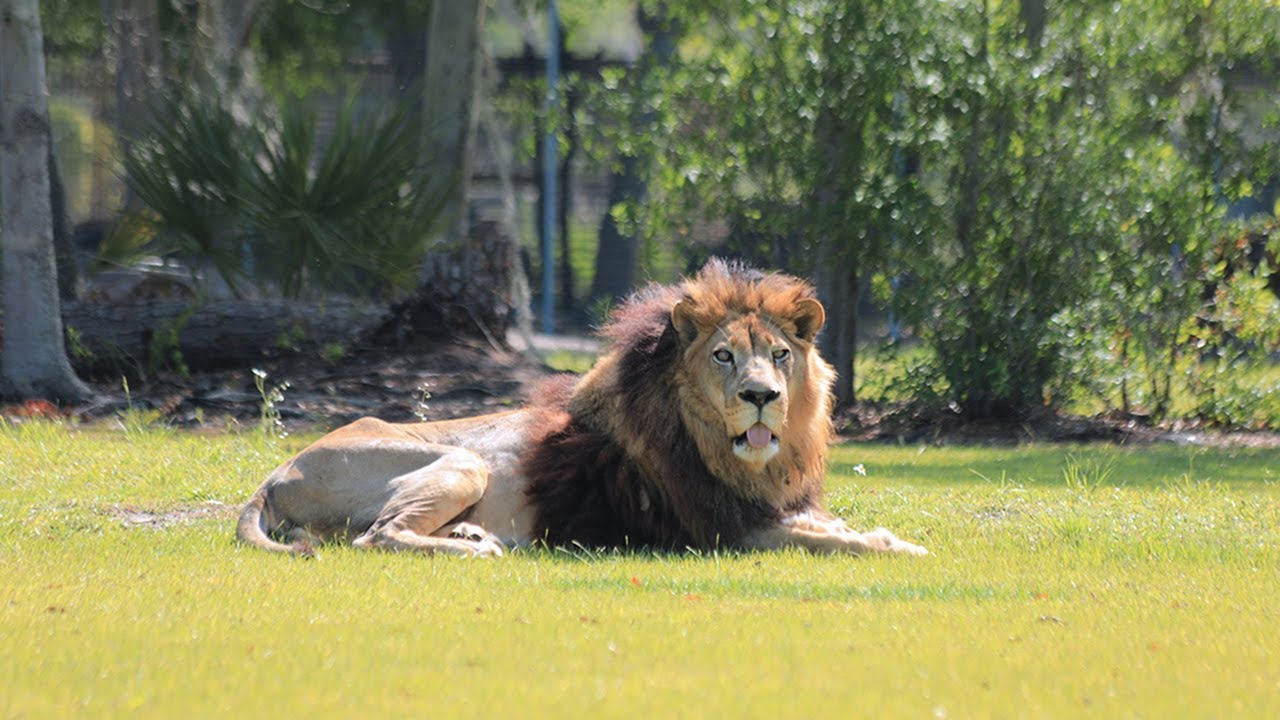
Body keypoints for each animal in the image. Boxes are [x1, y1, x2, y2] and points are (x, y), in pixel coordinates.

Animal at [236, 259, 927, 558]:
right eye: (724, 356)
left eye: (780, 355)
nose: (762, 397)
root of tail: (276, 473)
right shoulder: (721, 529)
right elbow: (829, 544)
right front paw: (897, 547)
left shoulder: (767, 506)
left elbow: (831, 527)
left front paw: (877, 531)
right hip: (462, 461)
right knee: (374, 535)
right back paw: (478, 548)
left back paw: (470, 533)